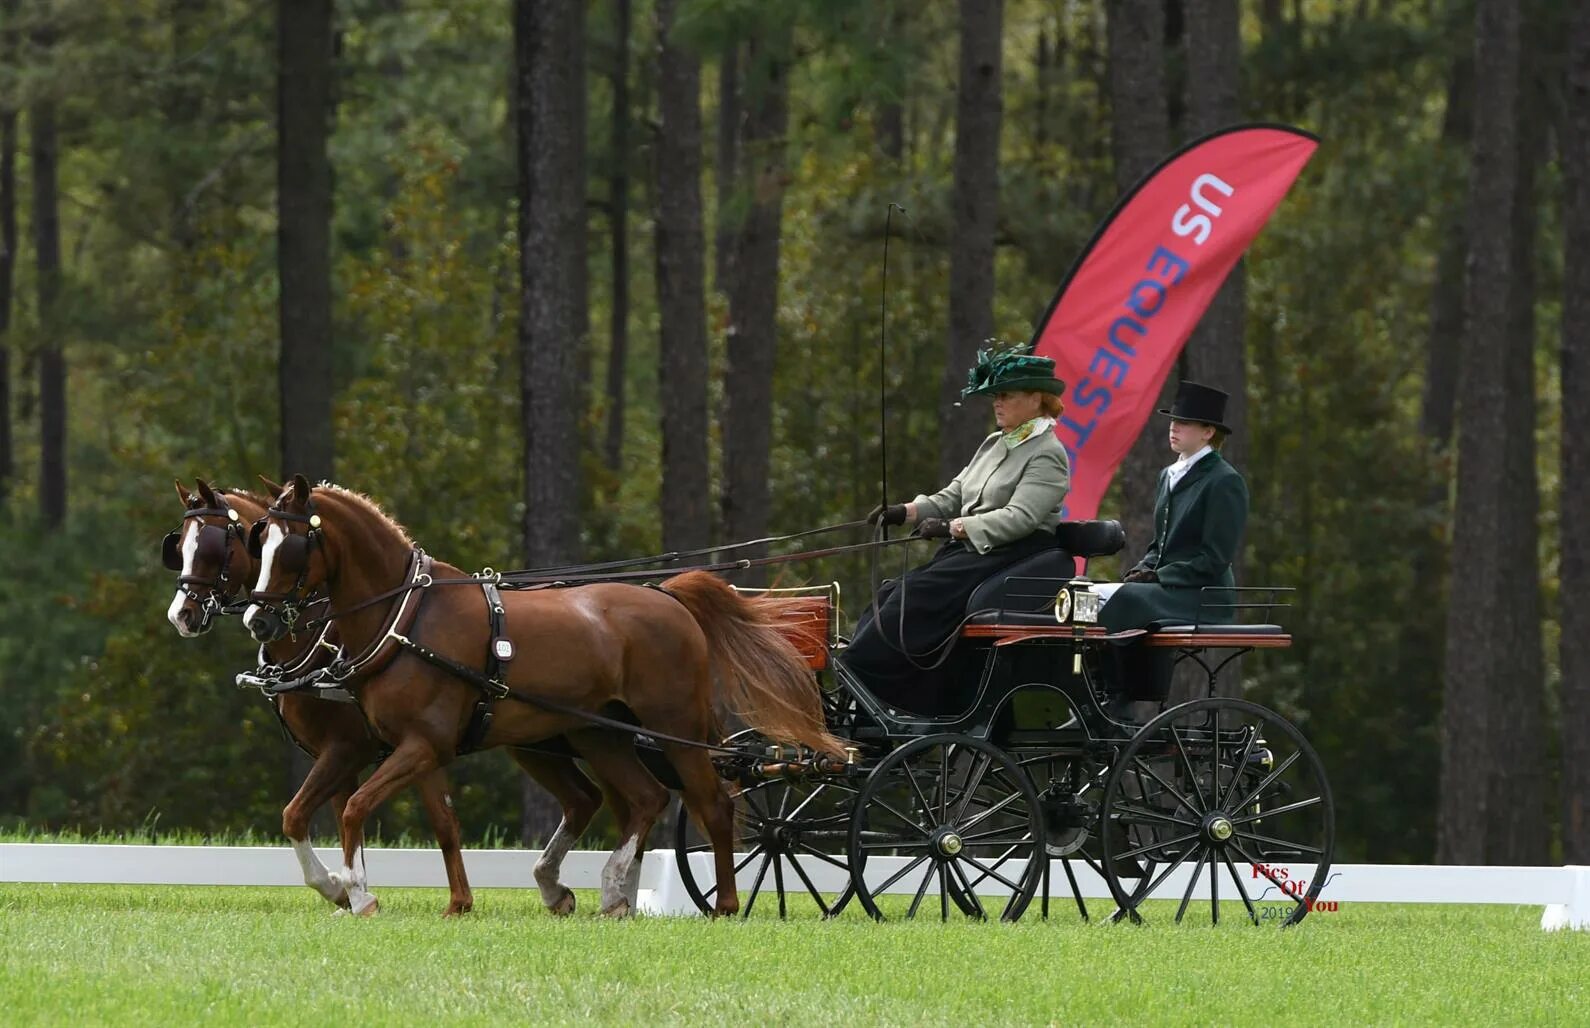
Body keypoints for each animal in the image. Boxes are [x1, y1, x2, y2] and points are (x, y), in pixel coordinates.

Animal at [241, 476, 839, 915]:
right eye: (256, 543)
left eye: (290, 546)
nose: (258, 620)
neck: (407, 620)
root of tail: (667, 595)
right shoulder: (421, 748)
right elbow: (438, 823)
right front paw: (450, 904)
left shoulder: (408, 747)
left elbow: (354, 808)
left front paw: (357, 893)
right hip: (599, 734)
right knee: (644, 798)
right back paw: (610, 890)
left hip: (676, 728)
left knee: (712, 804)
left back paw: (725, 904)